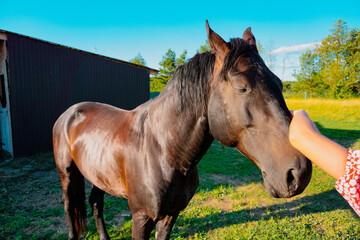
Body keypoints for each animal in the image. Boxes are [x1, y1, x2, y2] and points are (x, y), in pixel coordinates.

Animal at [52, 21, 312, 239]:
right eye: (241, 87)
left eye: (279, 83)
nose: (300, 172)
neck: (163, 149)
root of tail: (69, 112)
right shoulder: (141, 217)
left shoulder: (170, 215)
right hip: (67, 175)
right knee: (69, 207)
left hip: (98, 174)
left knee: (96, 203)